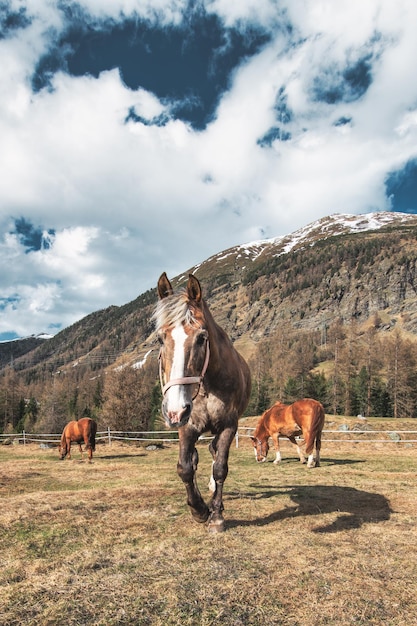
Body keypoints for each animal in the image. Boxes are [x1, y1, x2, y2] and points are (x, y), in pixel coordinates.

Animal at [154, 270, 249, 528]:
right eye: (160, 339)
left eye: (201, 338)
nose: (174, 410)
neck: (207, 387)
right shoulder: (187, 426)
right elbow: (185, 468)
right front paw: (198, 509)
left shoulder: (228, 426)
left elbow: (220, 468)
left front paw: (215, 515)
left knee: (215, 453)